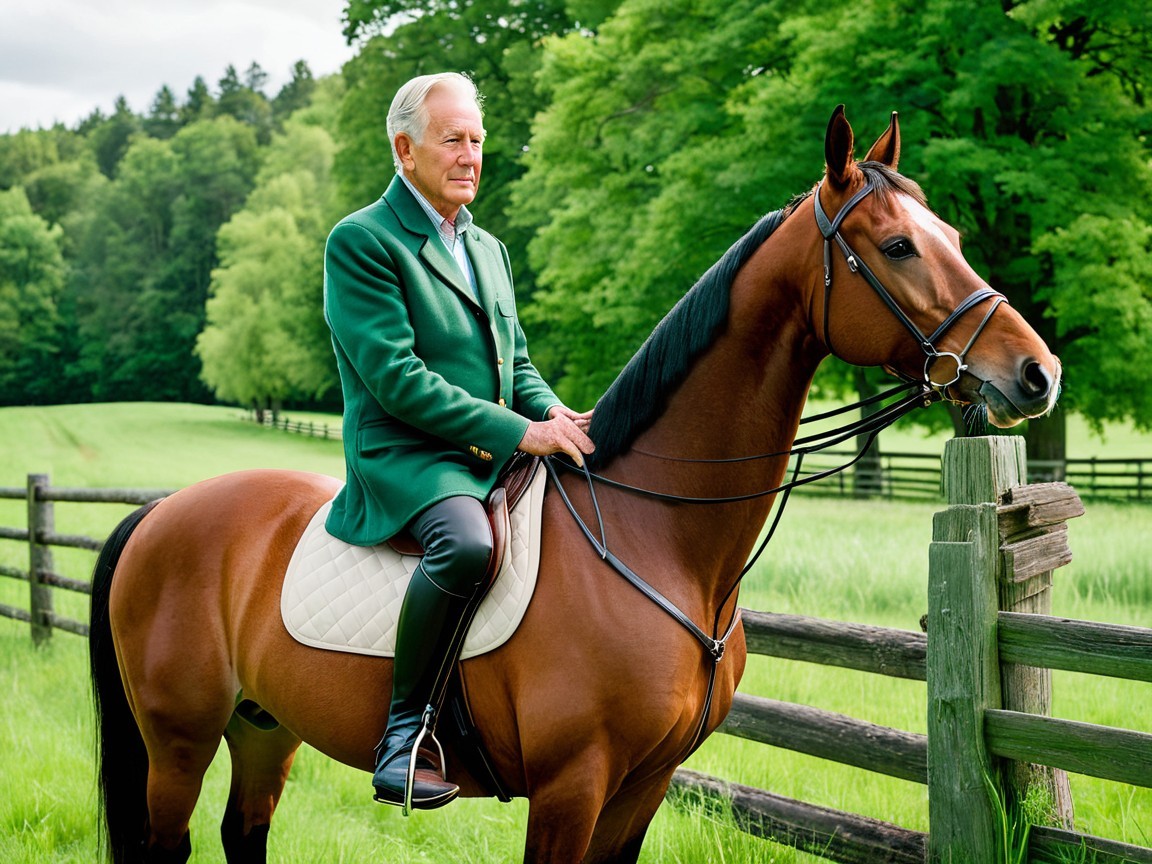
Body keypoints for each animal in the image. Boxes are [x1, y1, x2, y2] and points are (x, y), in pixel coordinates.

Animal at [89, 106, 1060, 864]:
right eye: (897, 247)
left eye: (955, 240)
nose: (1037, 374)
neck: (658, 536)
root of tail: (161, 514)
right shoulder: (573, 786)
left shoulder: (643, 785)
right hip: (178, 741)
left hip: (262, 728)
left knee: (242, 832)